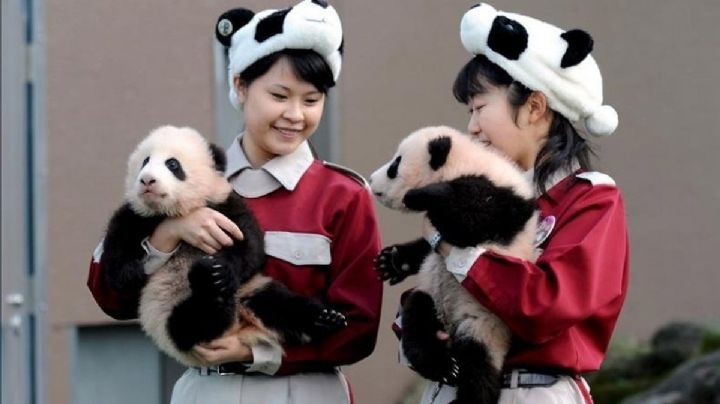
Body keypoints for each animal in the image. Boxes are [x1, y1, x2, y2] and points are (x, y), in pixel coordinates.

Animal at [101, 125, 346, 367]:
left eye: (172, 164)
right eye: (145, 161)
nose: (147, 180)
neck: (178, 210)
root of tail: (239, 324)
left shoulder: (224, 204)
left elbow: (250, 246)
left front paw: (223, 269)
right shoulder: (138, 216)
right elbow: (117, 253)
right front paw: (130, 273)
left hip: (252, 287)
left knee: (280, 304)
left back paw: (324, 318)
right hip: (168, 320)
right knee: (194, 320)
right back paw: (211, 289)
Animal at [369, 126, 539, 404]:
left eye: (395, 165)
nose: (372, 181)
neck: (466, 160)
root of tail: (449, 324)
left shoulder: (503, 201)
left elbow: (471, 219)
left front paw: (418, 196)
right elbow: (429, 246)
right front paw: (392, 261)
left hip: (484, 322)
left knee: (479, 363)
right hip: (431, 296)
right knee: (416, 318)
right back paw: (442, 366)